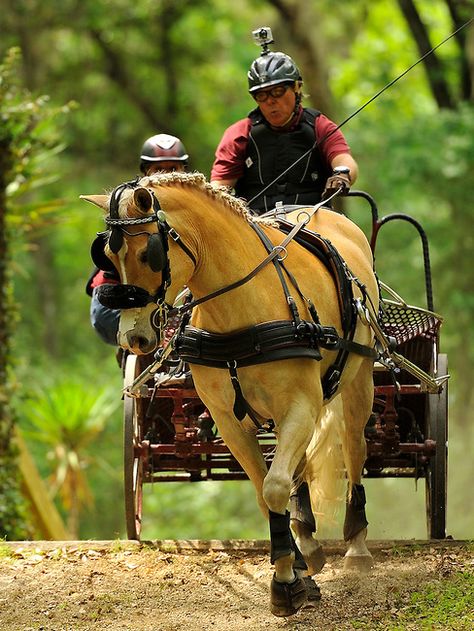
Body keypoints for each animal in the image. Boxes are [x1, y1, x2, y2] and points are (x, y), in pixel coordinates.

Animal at [81, 173, 378, 616]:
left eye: (150, 253)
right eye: (106, 257)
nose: (133, 337)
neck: (242, 308)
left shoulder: (300, 406)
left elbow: (275, 486)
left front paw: (286, 582)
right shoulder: (229, 419)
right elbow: (264, 492)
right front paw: (293, 571)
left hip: (358, 380)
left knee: (355, 448)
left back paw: (356, 545)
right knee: (301, 468)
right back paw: (307, 540)